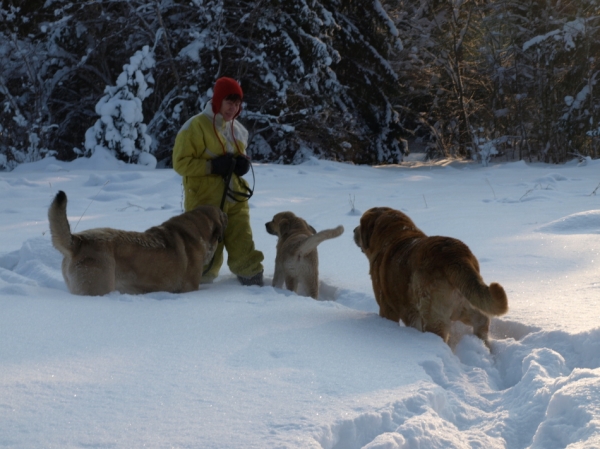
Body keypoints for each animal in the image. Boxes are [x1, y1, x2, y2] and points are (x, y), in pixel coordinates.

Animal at [354, 207, 508, 346]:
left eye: (360, 225)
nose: (354, 230)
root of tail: (455, 256)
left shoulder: (387, 308)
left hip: (434, 316)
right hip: (469, 301)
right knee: (482, 320)